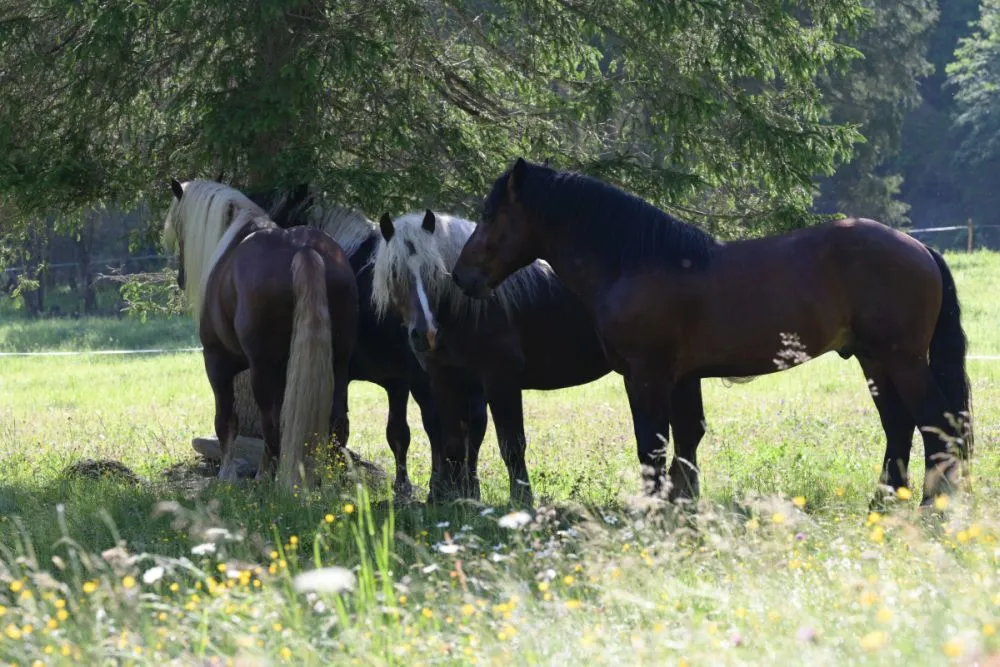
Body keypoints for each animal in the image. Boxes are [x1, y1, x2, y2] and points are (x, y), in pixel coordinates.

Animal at [162, 179, 359, 490]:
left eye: (179, 227)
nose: (180, 277)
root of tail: (303, 249)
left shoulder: (217, 362)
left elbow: (225, 420)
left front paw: (226, 474)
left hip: (264, 369)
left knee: (272, 422)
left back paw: (267, 477)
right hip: (338, 363)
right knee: (337, 421)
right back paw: (330, 482)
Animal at [243, 185, 489, 498]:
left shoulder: (405, 379)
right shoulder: (392, 380)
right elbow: (394, 432)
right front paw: (403, 486)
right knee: (473, 425)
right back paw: (466, 485)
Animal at [371, 208, 611, 504]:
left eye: (434, 271)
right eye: (395, 272)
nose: (425, 334)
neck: (469, 310)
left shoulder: (501, 380)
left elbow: (511, 444)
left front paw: (521, 499)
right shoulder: (445, 380)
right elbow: (454, 441)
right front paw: (457, 499)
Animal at [452, 158, 974, 506]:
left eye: (493, 214)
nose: (462, 275)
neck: (633, 261)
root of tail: (920, 249)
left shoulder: (645, 376)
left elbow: (652, 446)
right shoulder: (683, 378)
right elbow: (685, 444)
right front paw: (681, 510)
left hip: (902, 359)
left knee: (935, 423)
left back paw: (930, 506)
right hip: (873, 360)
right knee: (899, 425)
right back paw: (885, 503)